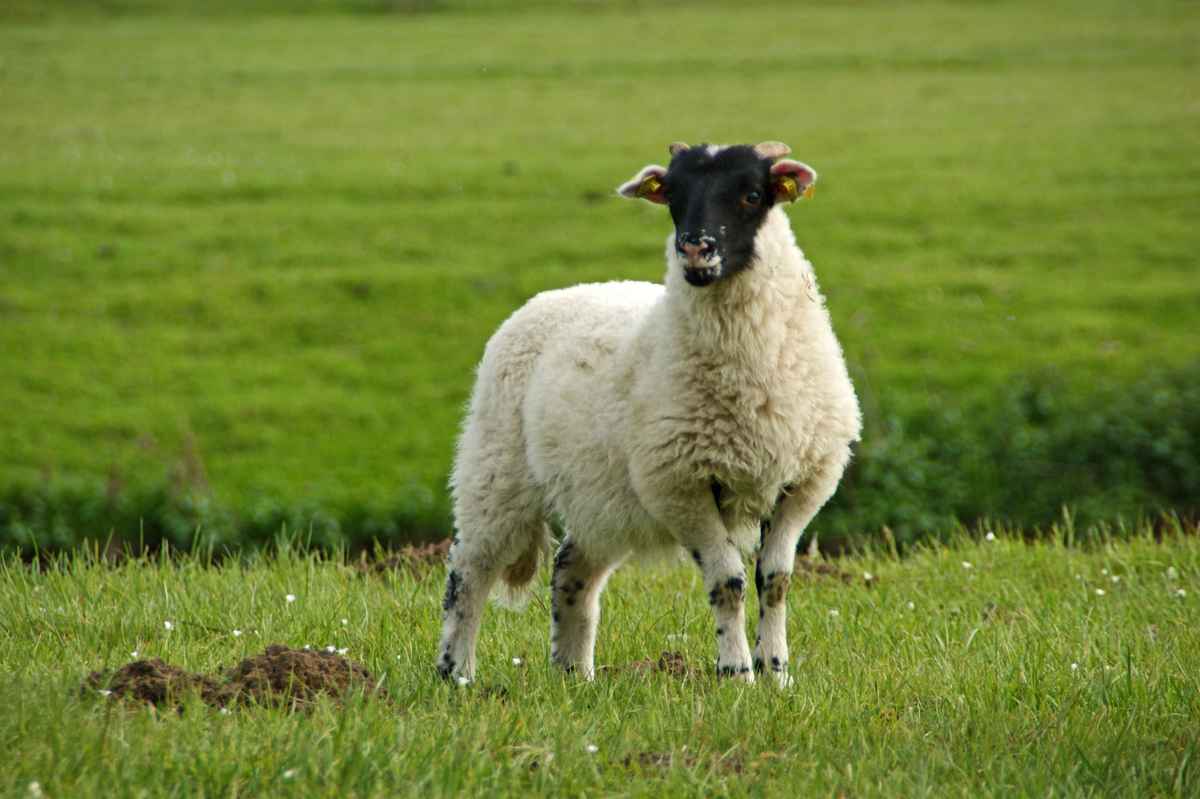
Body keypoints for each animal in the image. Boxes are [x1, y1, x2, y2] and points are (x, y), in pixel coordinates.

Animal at [436, 140, 861, 686]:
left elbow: (775, 580)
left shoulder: (804, 482)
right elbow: (728, 582)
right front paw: (736, 674)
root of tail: (552, 295)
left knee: (571, 569)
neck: (752, 378)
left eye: (751, 194)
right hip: (496, 469)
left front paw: (777, 675)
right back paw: (456, 674)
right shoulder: (680, 484)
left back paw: (575, 676)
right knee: (469, 571)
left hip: (600, 494)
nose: (695, 249)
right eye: (674, 197)